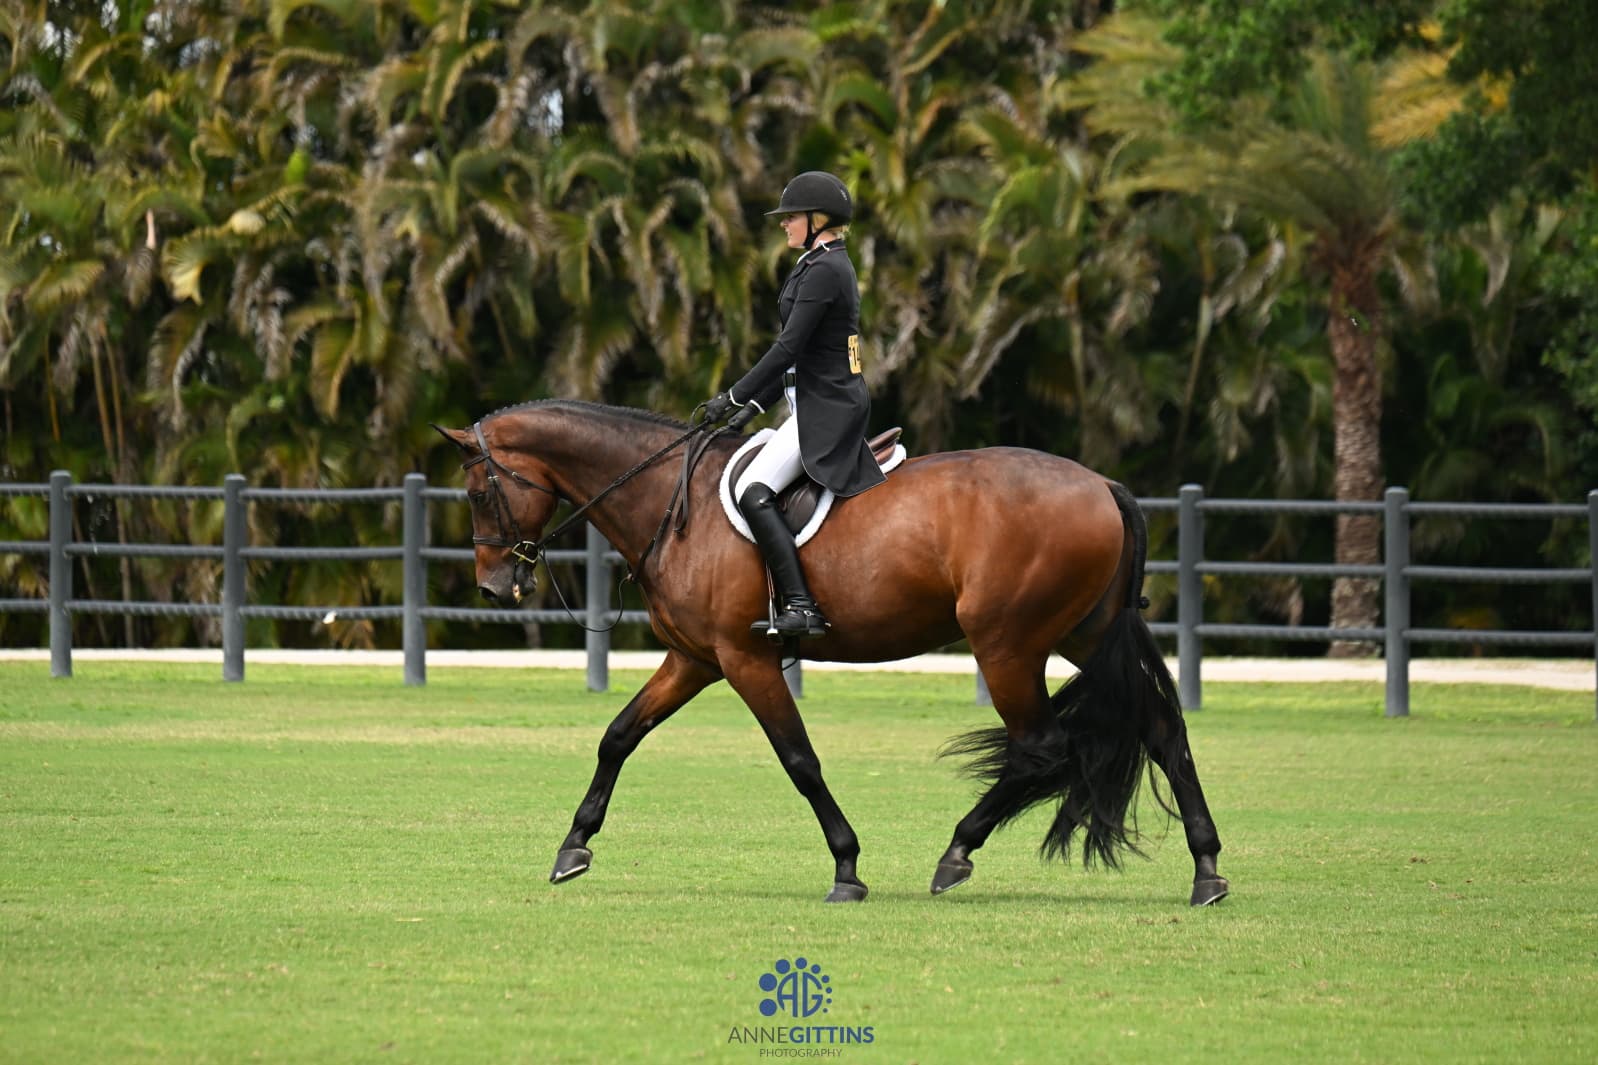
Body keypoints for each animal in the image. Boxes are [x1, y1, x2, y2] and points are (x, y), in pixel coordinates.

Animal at [434, 400, 1228, 906]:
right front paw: (574, 846)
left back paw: (957, 852)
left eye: (478, 492)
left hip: (1007, 644)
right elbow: (619, 735)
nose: (495, 583)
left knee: (1042, 747)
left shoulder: (746, 661)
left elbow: (799, 760)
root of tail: (1104, 484)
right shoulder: (695, 659)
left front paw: (847, 867)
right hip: (1081, 634)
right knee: (1163, 731)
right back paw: (1206, 869)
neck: (672, 498)